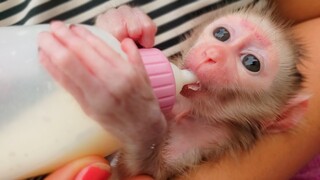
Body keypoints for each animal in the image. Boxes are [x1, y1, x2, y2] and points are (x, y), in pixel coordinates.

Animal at [37, 1, 308, 180]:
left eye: (251, 63)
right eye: (222, 34)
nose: (213, 55)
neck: (187, 108)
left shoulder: (209, 138)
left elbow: (135, 173)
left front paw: (133, 112)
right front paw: (122, 24)